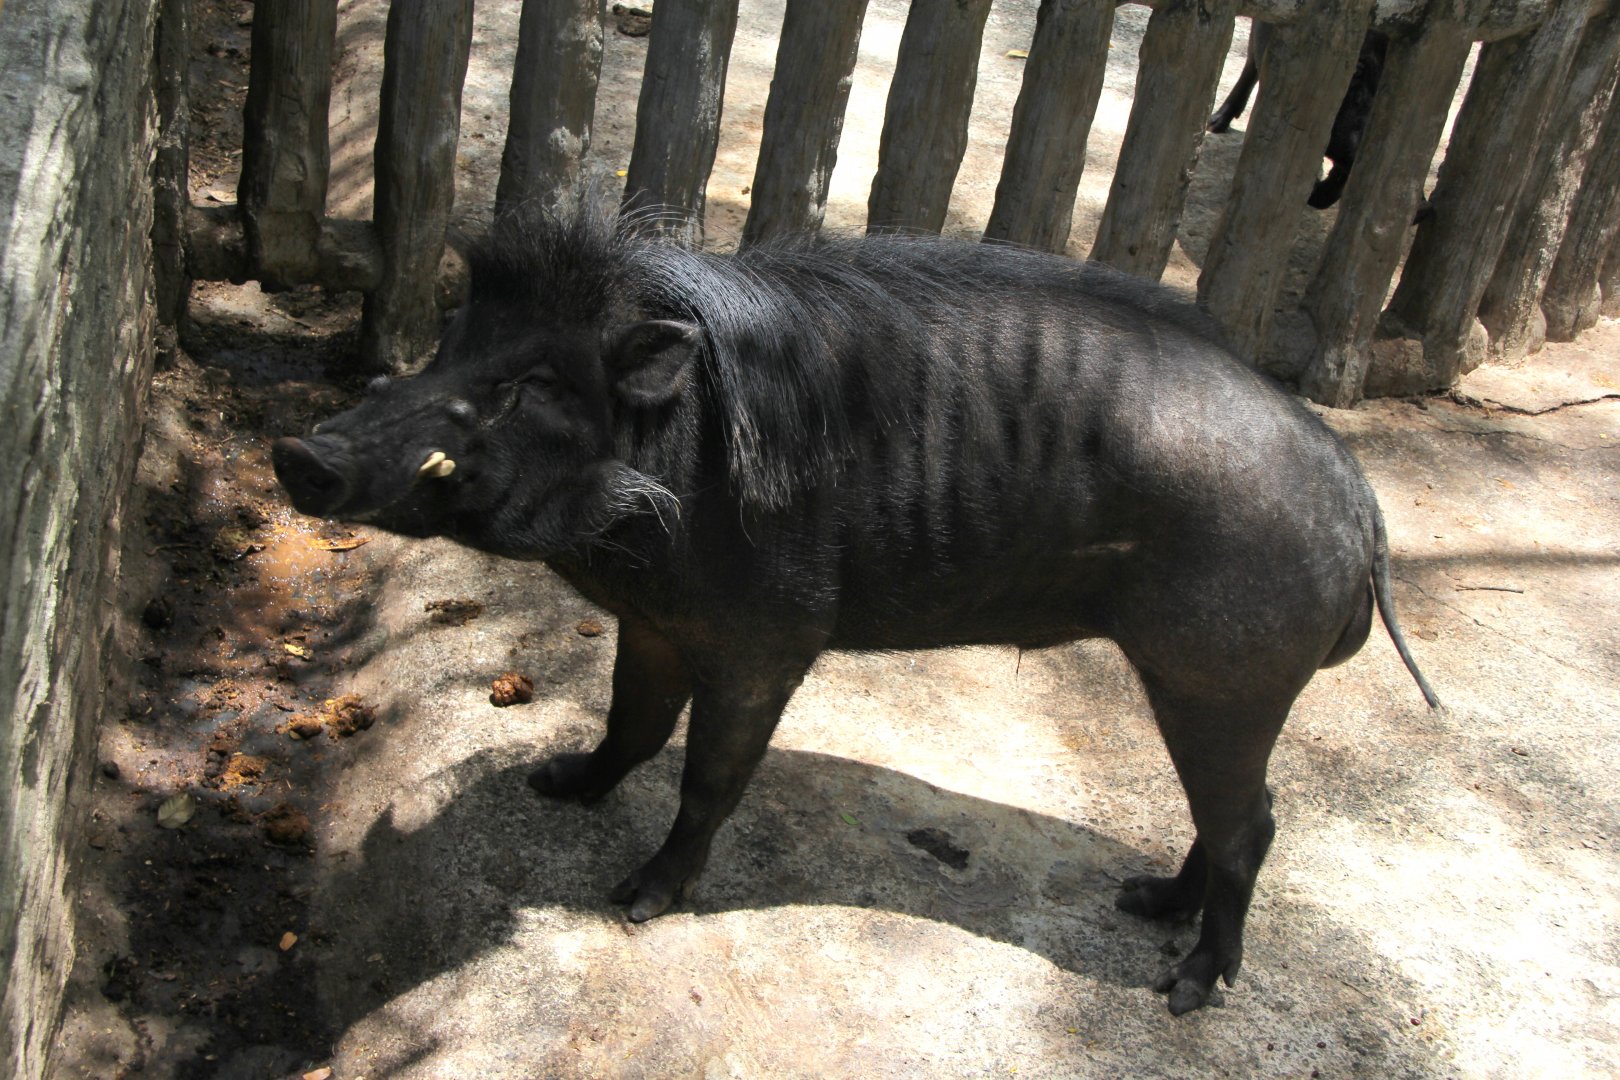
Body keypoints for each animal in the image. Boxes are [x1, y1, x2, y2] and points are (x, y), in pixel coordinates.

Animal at [273, 202, 1439, 1015]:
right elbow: (628, 726)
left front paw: (636, 900)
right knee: (1234, 813)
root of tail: (1359, 496)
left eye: (538, 381)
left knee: (1252, 822)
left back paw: (1185, 990)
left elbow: (707, 777)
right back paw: (1143, 901)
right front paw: (554, 785)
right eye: (448, 345)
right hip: (1208, 682)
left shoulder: (769, 639)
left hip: (1226, 674)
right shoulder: (655, 622)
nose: (301, 452)